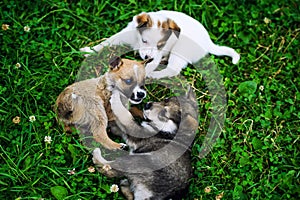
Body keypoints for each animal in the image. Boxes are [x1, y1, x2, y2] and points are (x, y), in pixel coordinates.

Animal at [79, 10, 239, 78]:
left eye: (160, 45)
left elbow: (151, 65)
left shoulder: (157, 54)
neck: (137, 41)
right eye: (144, 41)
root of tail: (208, 43)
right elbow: (107, 42)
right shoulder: (126, 34)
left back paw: (154, 75)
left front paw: (146, 73)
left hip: (180, 49)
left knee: (173, 70)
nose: (146, 57)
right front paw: (90, 50)